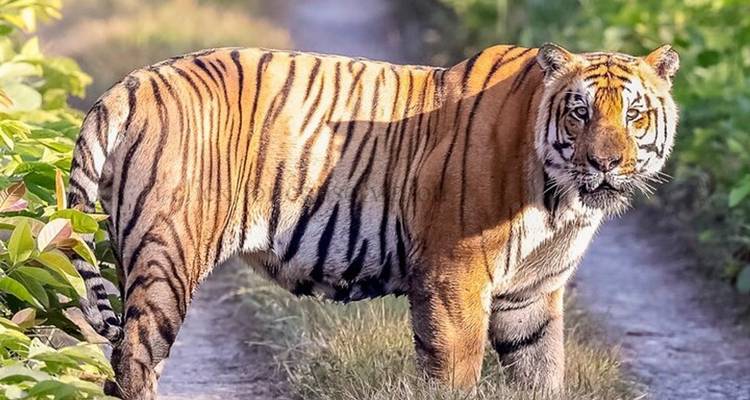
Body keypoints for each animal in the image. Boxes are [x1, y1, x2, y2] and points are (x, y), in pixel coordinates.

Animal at [66, 43, 679, 399]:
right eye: (580, 113)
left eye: (634, 115)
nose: (605, 164)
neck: (562, 203)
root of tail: (130, 84)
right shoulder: (456, 276)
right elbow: (456, 373)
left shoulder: (529, 295)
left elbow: (542, 373)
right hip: (168, 253)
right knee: (134, 358)